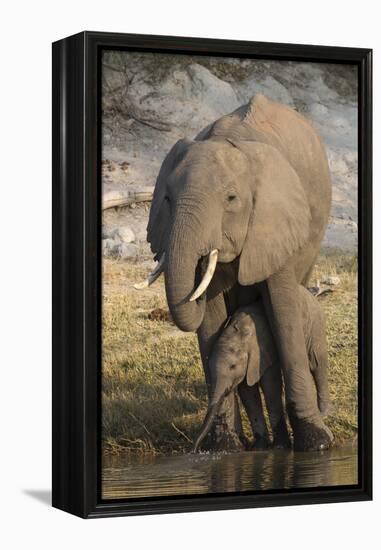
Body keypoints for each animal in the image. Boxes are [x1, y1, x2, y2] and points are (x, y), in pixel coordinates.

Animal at [193, 286, 330, 454]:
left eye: (232, 366)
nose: (196, 449)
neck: (239, 334)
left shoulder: (263, 349)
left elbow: (270, 384)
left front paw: (279, 447)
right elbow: (247, 390)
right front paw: (259, 447)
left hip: (315, 321)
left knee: (317, 363)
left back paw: (324, 411)